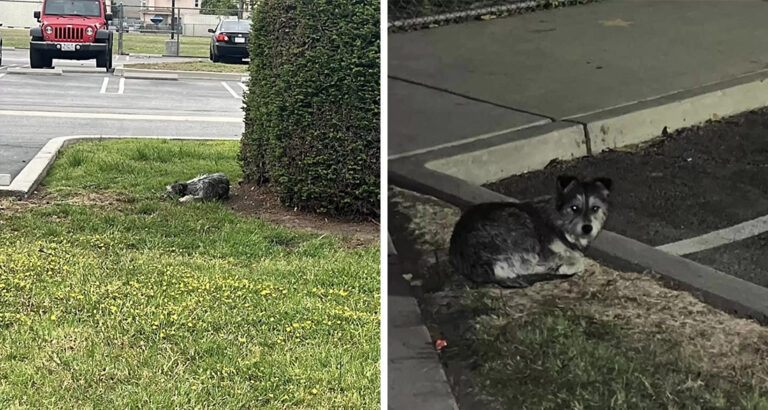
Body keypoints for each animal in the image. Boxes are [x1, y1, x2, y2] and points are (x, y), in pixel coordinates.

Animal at [450, 175, 612, 288]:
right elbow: (578, 260)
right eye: (574, 208)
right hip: (522, 229)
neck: (560, 221)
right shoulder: (546, 252)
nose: (587, 228)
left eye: (595, 208)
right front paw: (564, 266)